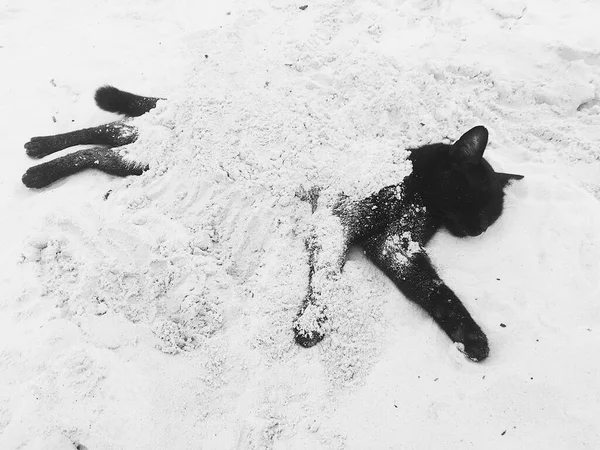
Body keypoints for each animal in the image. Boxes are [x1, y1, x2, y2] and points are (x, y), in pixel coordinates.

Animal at [292, 125, 524, 362]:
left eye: (492, 217)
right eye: (475, 199)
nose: (480, 230)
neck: (414, 190)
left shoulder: (394, 244)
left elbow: (433, 288)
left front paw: (469, 335)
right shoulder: (338, 220)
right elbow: (325, 276)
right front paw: (311, 320)